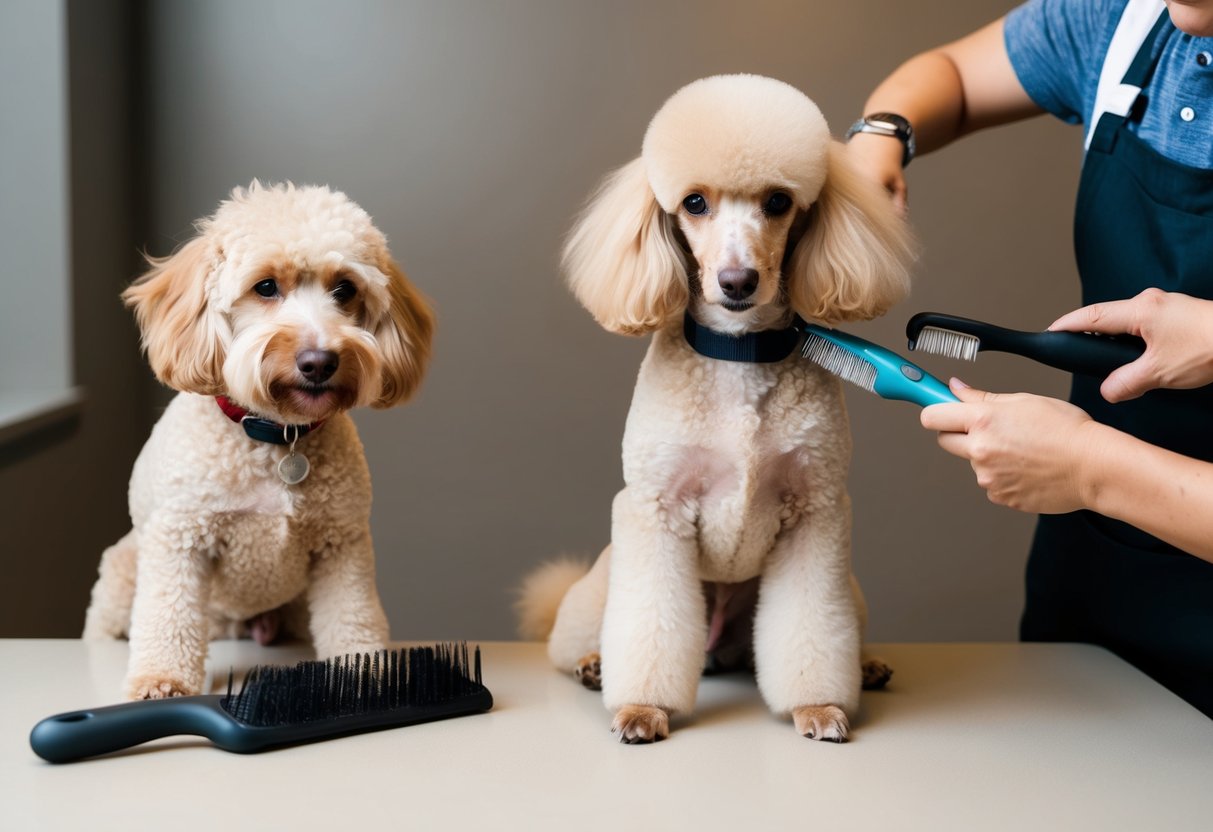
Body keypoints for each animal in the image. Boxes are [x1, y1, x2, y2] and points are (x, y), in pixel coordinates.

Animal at [80, 184, 434, 703]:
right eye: (265, 287)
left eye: (345, 289)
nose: (320, 360)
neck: (275, 436)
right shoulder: (181, 539)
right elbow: (169, 615)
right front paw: (161, 681)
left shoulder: (341, 545)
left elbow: (351, 616)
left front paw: (363, 677)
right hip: (125, 568)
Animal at [516, 74, 912, 747]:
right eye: (694, 203)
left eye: (778, 201)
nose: (736, 281)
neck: (739, 353)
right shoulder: (656, 508)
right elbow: (649, 624)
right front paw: (643, 708)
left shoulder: (816, 514)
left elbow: (810, 626)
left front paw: (818, 704)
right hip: (604, 578)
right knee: (575, 642)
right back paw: (594, 665)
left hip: (843, 591)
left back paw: (866, 664)